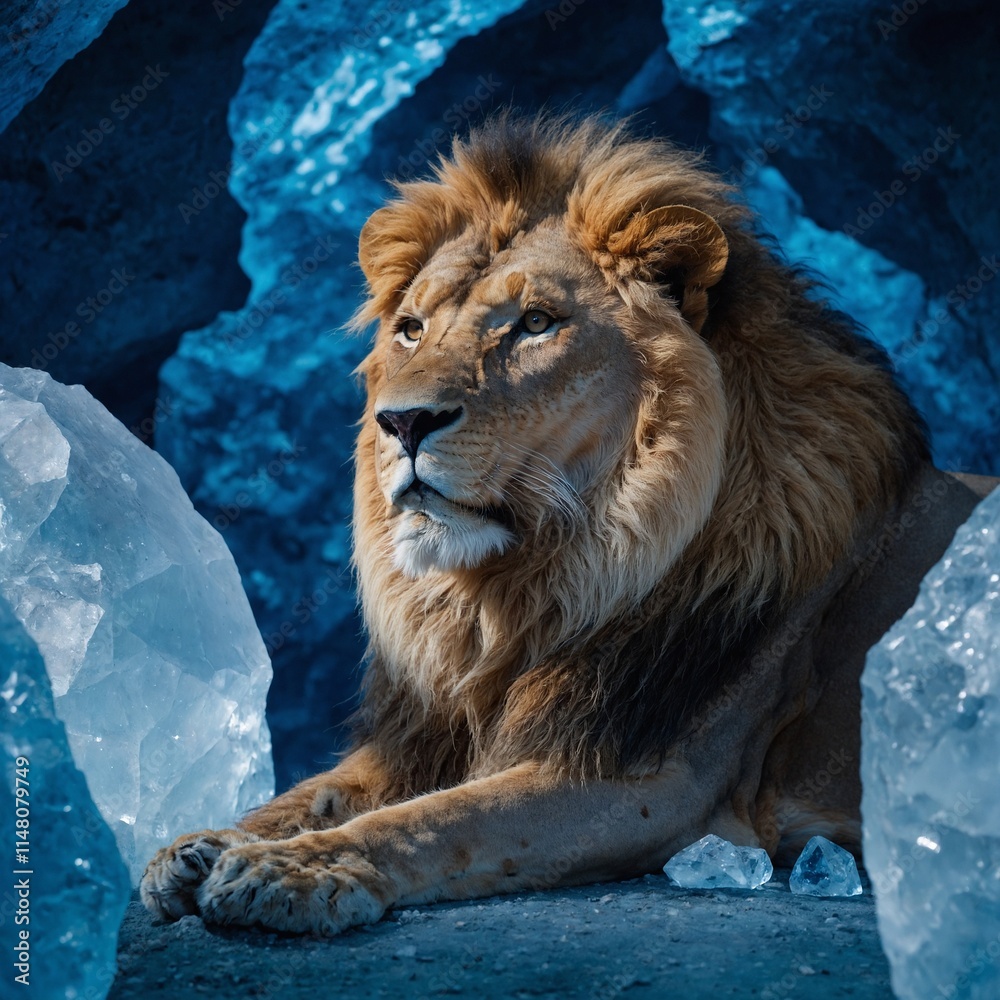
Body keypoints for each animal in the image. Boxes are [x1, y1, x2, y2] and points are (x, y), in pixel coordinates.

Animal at [141, 112, 996, 934]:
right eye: (411, 328)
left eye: (536, 323)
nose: (402, 422)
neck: (523, 591)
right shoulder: (425, 735)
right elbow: (314, 792)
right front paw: (201, 846)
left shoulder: (651, 781)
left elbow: (440, 819)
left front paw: (292, 868)